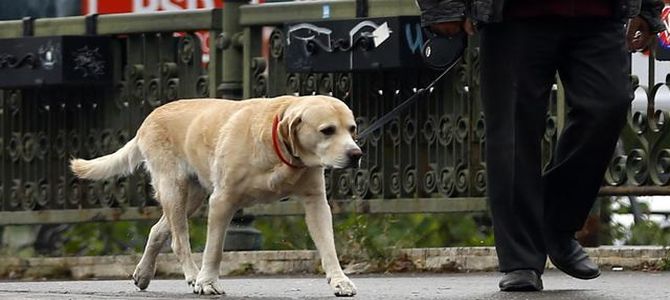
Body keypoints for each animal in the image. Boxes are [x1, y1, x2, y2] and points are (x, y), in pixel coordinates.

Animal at [69, 95, 362, 296]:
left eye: (352, 128)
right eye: (327, 130)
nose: (356, 154)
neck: (277, 146)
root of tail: (149, 117)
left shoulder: (316, 203)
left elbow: (328, 247)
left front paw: (340, 281)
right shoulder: (223, 201)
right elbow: (215, 249)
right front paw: (207, 282)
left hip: (192, 197)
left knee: (158, 230)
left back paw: (143, 273)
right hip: (174, 188)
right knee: (179, 241)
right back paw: (192, 275)